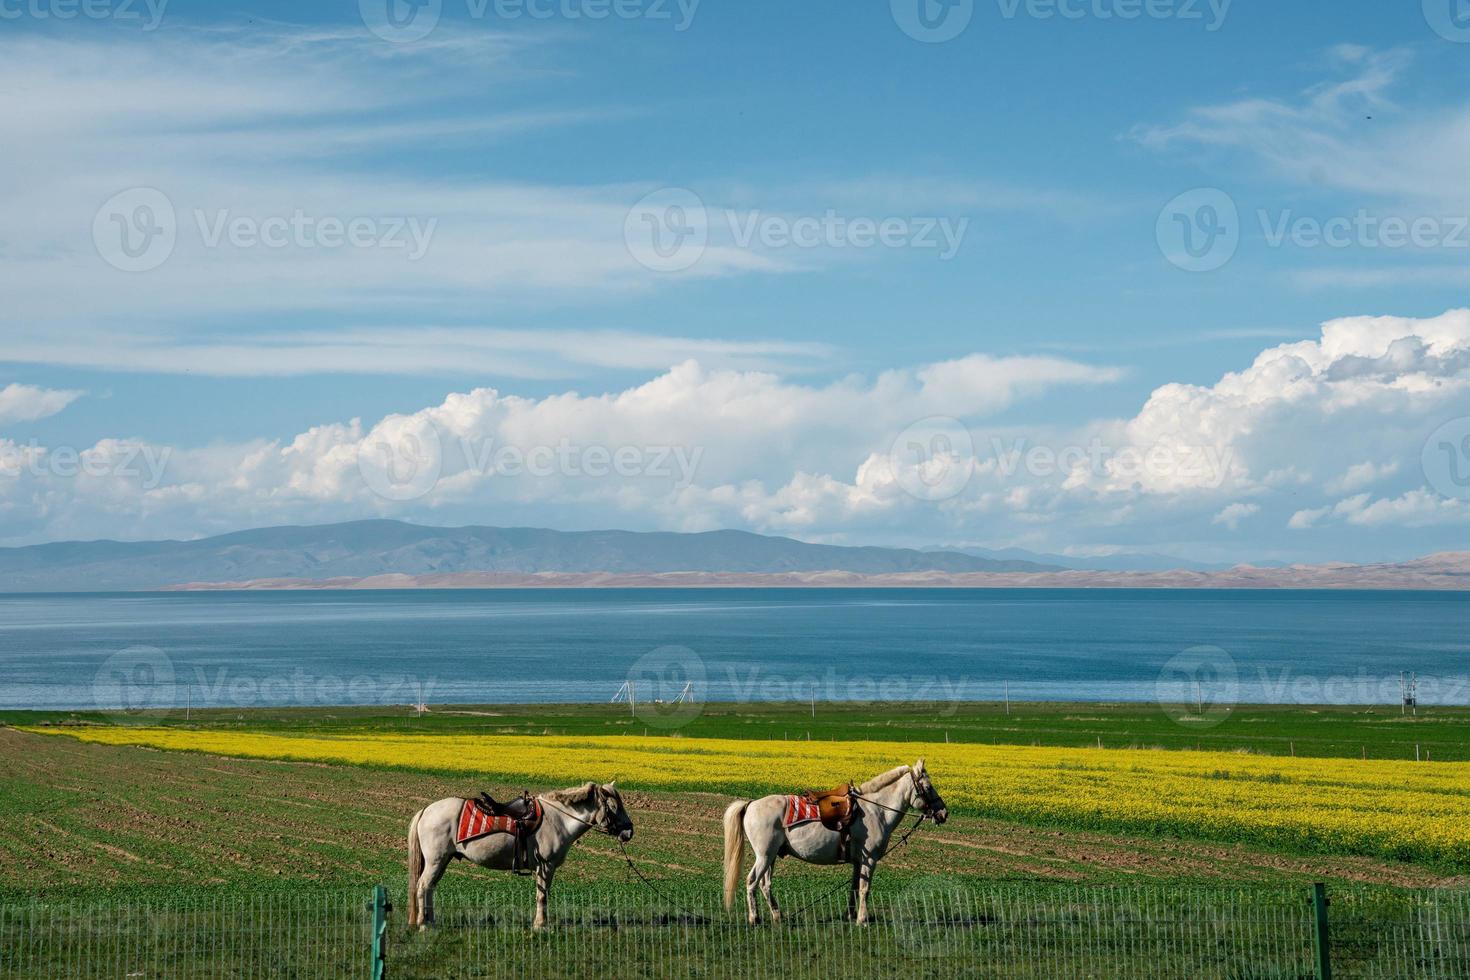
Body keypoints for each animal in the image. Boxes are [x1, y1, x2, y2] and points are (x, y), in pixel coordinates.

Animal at [408, 787, 632, 934]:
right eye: (613, 806)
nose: (629, 831)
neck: (558, 819)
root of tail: (426, 811)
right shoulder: (546, 866)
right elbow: (542, 896)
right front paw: (541, 925)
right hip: (436, 861)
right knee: (422, 886)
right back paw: (423, 924)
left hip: (442, 861)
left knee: (429, 888)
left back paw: (432, 922)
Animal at [720, 758, 946, 928]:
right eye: (928, 787)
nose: (943, 813)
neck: (876, 810)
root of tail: (751, 804)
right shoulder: (869, 859)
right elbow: (865, 888)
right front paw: (862, 920)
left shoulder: (858, 862)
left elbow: (854, 887)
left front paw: (850, 916)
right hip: (764, 855)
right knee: (752, 881)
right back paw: (754, 919)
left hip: (772, 857)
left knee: (765, 884)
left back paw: (778, 917)